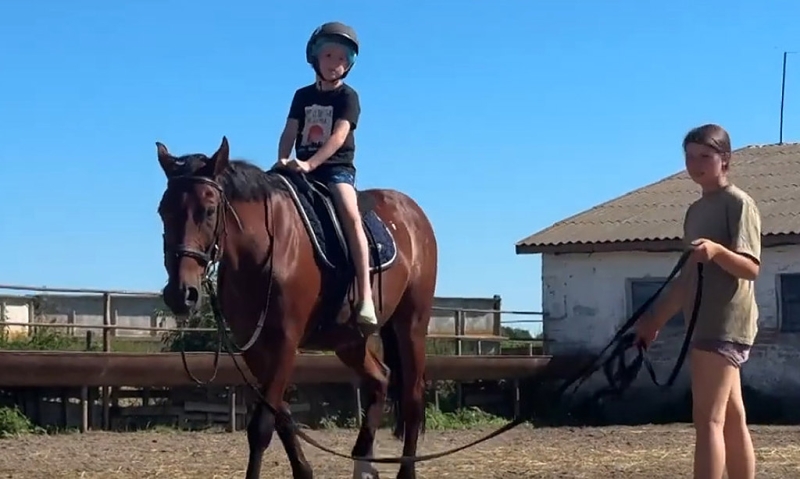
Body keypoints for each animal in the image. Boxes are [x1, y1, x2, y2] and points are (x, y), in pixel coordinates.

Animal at [155, 137, 438, 479]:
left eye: (208, 211)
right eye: (163, 211)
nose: (180, 294)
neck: (263, 251)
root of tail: (413, 213)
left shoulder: (285, 343)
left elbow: (261, 427)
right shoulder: (254, 350)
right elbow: (282, 417)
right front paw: (304, 471)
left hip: (411, 326)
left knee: (412, 400)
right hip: (349, 341)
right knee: (380, 379)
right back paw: (363, 462)